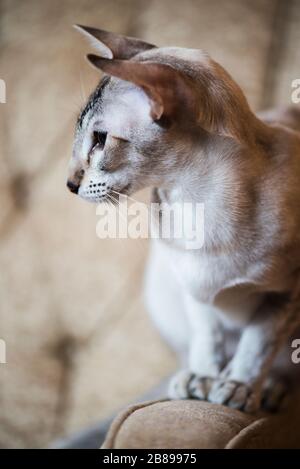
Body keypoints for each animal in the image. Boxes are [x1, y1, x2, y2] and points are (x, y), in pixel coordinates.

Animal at [67, 27, 300, 412]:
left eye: (99, 140)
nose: (69, 184)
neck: (199, 203)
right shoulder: (193, 290)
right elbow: (207, 340)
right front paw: (203, 380)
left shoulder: (283, 297)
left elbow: (256, 348)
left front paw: (239, 387)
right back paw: (189, 379)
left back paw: (267, 389)